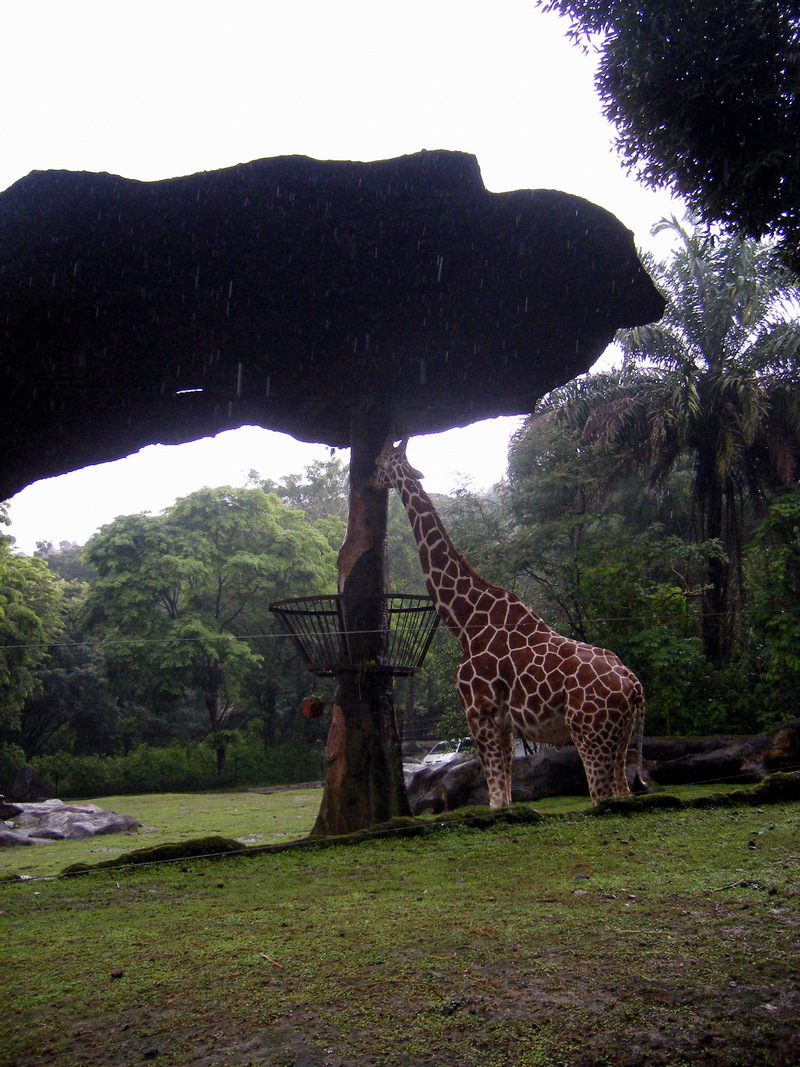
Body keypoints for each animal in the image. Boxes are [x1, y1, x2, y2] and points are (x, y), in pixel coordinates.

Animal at [371, 437, 644, 802]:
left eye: (380, 461)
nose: (371, 481)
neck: (465, 622)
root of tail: (633, 686)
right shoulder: (502, 722)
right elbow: (504, 797)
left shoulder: (479, 711)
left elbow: (496, 799)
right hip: (621, 739)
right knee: (621, 792)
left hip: (590, 734)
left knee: (599, 795)